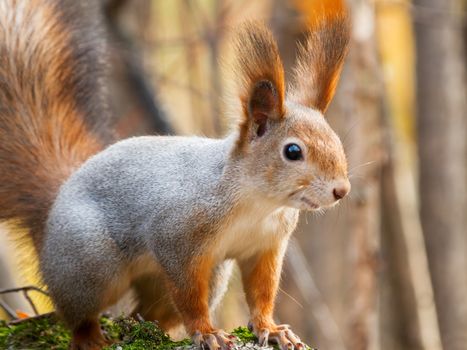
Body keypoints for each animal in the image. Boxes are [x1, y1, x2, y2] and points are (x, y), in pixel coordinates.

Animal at [0, 0, 352, 350]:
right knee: (76, 311)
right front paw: (207, 332)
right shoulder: (177, 237)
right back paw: (90, 338)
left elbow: (261, 294)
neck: (258, 204)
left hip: (201, 276)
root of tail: (54, 206)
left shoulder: (265, 248)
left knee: (152, 313)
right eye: (292, 151)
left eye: (336, 139)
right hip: (90, 263)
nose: (342, 190)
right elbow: (188, 296)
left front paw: (272, 328)